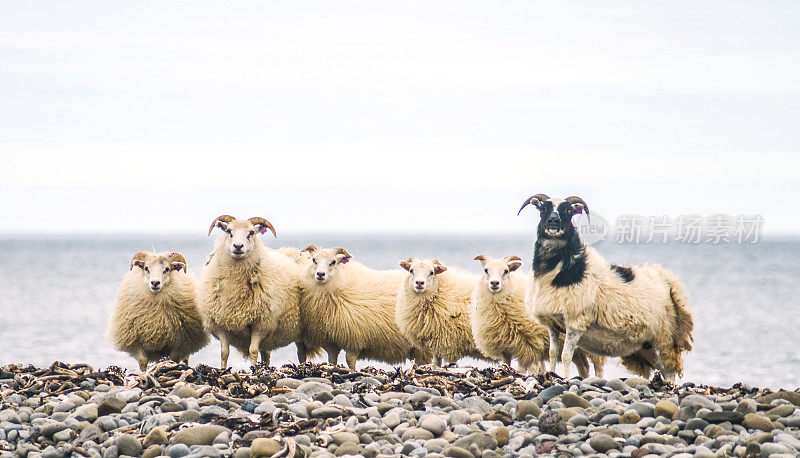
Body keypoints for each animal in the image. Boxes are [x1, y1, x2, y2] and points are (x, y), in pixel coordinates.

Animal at [296, 245, 432, 370]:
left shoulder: (355, 337)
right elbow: (332, 360)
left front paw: (352, 371)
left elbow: (350, 360)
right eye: (314, 260)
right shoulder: (331, 341)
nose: (320, 274)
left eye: (333, 262)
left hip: (422, 347)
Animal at [468, 254, 608, 376]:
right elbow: (506, 365)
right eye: (486, 270)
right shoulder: (505, 349)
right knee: (583, 366)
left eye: (506, 271)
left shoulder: (530, 345)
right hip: (578, 348)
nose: (494, 283)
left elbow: (527, 369)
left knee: (598, 367)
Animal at [520, 193, 692, 380]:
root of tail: (667, 280)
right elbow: (553, 353)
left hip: (665, 336)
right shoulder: (552, 324)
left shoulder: (575, 322)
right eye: (543, 208)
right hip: (647, 344)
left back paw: (670, 384)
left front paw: (564, 378)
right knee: (662, 367)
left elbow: (566, 355)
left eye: (568, 211)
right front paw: (551, 374)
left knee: (669, 368)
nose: (553, 221)